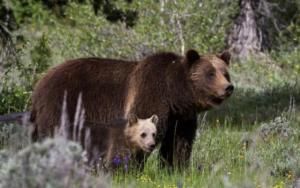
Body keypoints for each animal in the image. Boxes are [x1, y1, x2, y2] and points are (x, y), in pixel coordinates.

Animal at [30, 48, 233, 169]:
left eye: (225, 72)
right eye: (210, 73)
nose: (228, 87)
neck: (174, 95)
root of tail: (40, 83)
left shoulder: (181, 118)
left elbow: (178, 144)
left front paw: (176, 169)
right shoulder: (150, 95)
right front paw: (127, 168)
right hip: (63, 106)